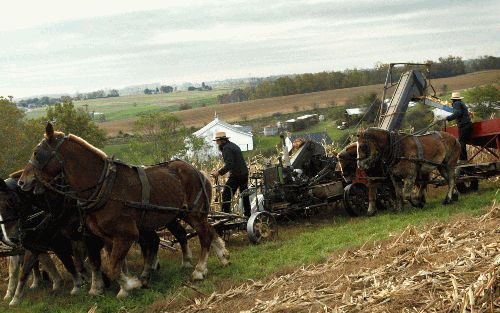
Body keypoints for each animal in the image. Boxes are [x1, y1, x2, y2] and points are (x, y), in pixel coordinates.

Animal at [18, 122, 229, 298]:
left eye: (37, 153)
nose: (22, 181)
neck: (103, 187)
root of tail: (196, 170)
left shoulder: (126, 234)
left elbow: (113, 266)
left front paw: (130, 285)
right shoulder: (104, 237)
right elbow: (109, 264)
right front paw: (114, 286)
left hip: (193, 213)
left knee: (204, 235)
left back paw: (199, 270)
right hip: (185, 213)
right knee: (209, 230)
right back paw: (223, 256)